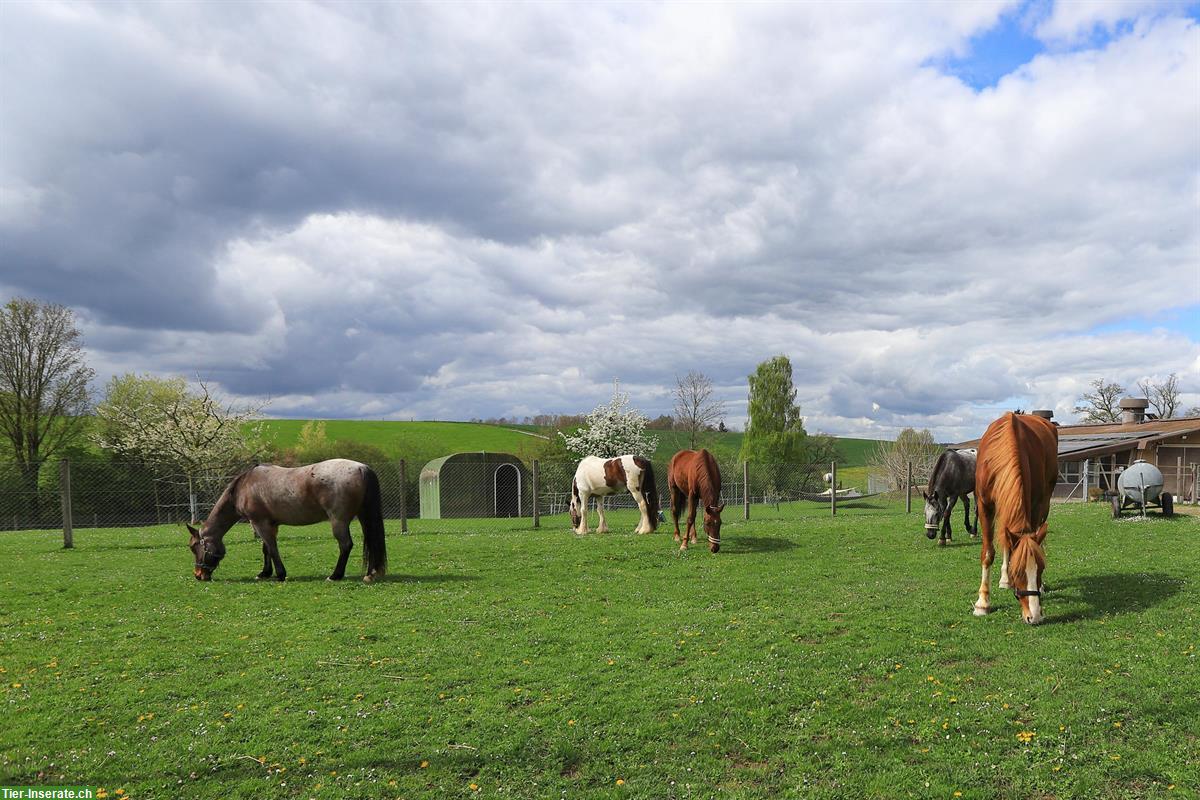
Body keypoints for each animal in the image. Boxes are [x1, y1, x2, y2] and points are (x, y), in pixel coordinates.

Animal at [186, 460, 388, 585]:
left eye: (195, 547)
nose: (198, 575)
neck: (245, 486)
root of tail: (361, 468)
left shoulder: (259, 523)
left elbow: (272, 548)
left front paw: (280, 574)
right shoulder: (270, 524)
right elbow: (266, 549)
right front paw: (264, 573)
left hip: (338, 521)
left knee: (346, 545)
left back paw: (335, 576)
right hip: (364, 517)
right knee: (371, 542)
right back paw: (370, 574)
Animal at [974, 412, 1060, 623]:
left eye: (1041, 568)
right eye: (1018, 572)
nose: (1034, 616)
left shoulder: (1034, 503)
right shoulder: (984, 505)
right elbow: (988, 553)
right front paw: (983, 602)